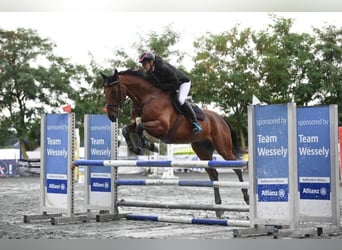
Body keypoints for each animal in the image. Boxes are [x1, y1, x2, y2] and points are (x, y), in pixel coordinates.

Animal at [101, 69, 248, 217]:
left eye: (114, 91)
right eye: (104, 92)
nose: (111, 116)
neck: (147, 98)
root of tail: (221, 119)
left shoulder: (162, 126)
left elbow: (140, 128)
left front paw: (148, 145)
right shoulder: (139, 123)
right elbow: (127, 129)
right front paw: (136, 148)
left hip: (223, 147)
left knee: (237, 168)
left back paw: (246, 198)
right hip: (202, 151)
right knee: (214, 175)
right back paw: (219, 209)